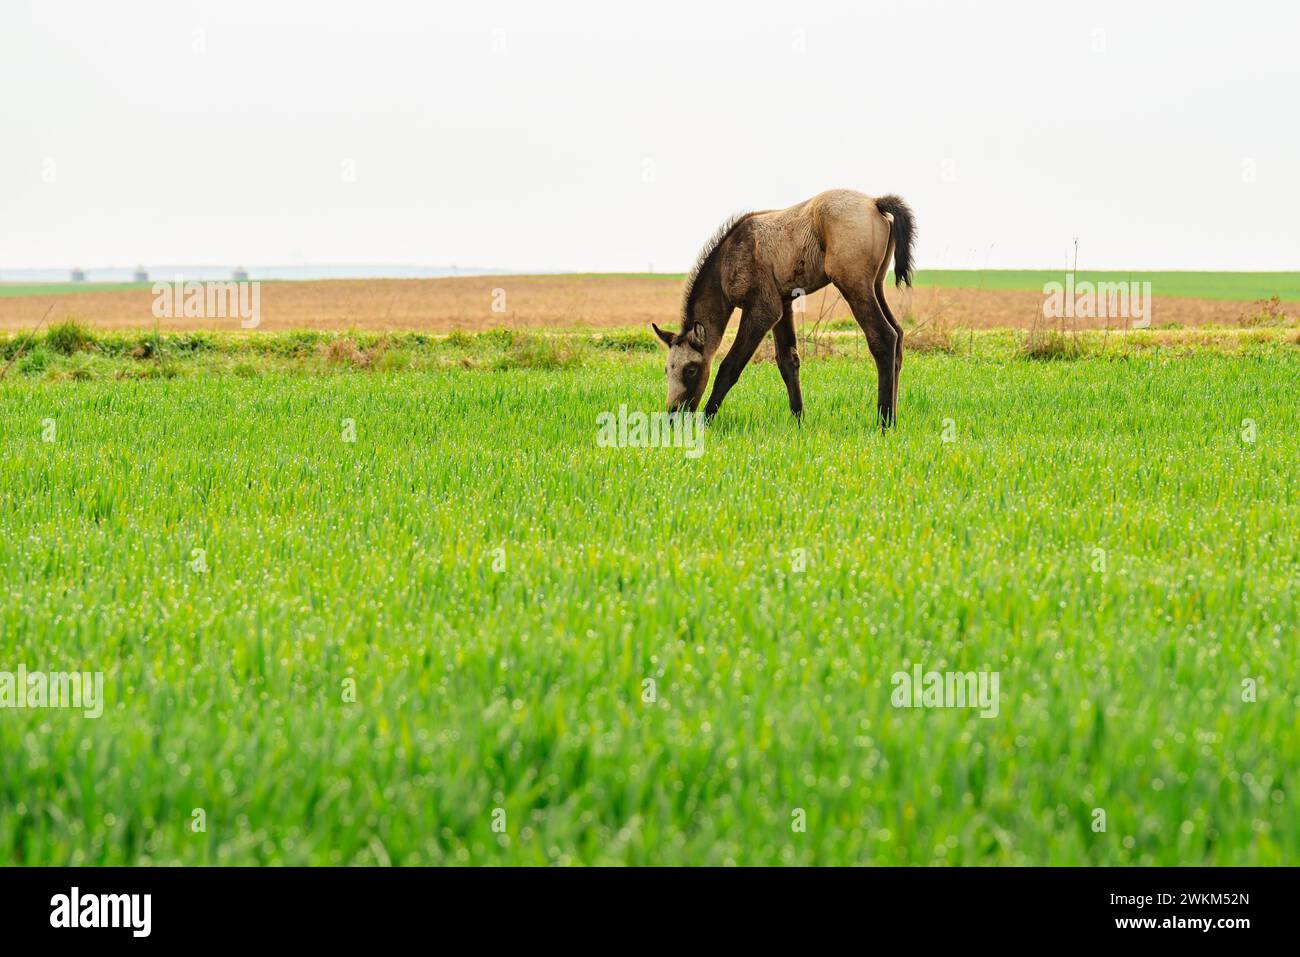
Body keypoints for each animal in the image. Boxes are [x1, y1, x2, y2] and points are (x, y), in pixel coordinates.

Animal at [652, 189, 915, 430]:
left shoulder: (762, 310)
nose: (673, 415)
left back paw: (884, 424)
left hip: (854, 285)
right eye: (667, 370)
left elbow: (730, 366)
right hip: (875, 286)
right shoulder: (783, 306)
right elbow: (788, 362)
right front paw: (798, 423)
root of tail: (874, 202)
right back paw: (894, 418)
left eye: (691, 370)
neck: (728, 259)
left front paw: (706, 421)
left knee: (883, 337)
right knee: (898, 335)